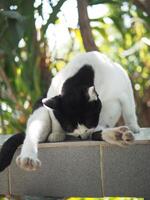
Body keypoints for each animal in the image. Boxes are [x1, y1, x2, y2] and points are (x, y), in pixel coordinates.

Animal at [0, 51, 139, 172]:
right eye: (69, 127)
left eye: (88, 122)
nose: (82, 136)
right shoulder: (52, 94)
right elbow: (55, 119)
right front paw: (57, 134)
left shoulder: (124, 87)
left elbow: (129, 110)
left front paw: (134, 126)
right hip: (41, 112)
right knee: (33, 132)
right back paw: (28, 157)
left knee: (98, 132)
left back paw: (118, 135)